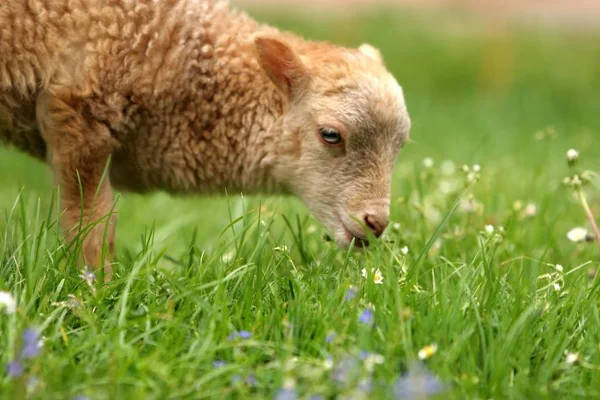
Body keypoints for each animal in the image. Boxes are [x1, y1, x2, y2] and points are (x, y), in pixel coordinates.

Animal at [0, 0, 410, 282]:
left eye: (400, 146)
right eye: (330, 135)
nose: (376, 223)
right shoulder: (81, 116)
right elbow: (92, 225)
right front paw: (95, 291)